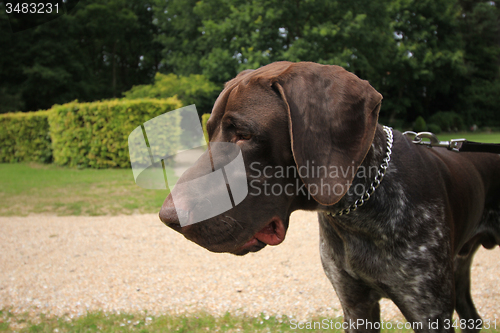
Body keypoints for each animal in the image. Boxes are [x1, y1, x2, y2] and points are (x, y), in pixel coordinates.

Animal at [160, 61, 500, 330]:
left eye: (244, 134)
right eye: (210, 131)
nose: (168, 217)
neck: (360, 214)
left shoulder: (428, 311)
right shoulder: (355, 307)